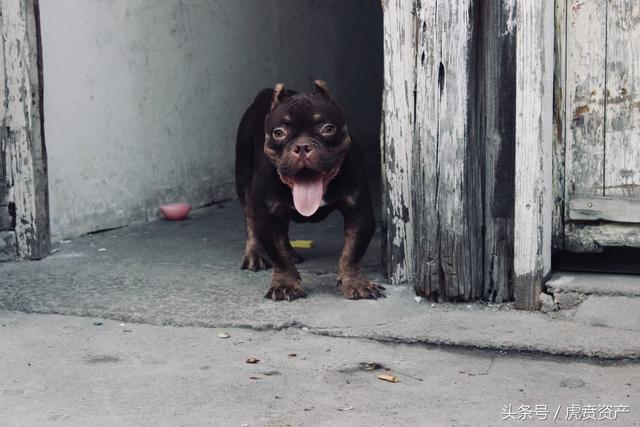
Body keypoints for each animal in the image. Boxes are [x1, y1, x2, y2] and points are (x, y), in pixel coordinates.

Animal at [236, 80, 382, 300]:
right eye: (279, 133)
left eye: (328, 129)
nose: (303, 146)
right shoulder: (267, 216)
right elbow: (278, 256)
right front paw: (285, 284)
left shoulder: (358, 211)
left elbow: (352, 250)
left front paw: (355, 282)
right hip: (244, 180)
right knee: (249, 218)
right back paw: (255, 253)